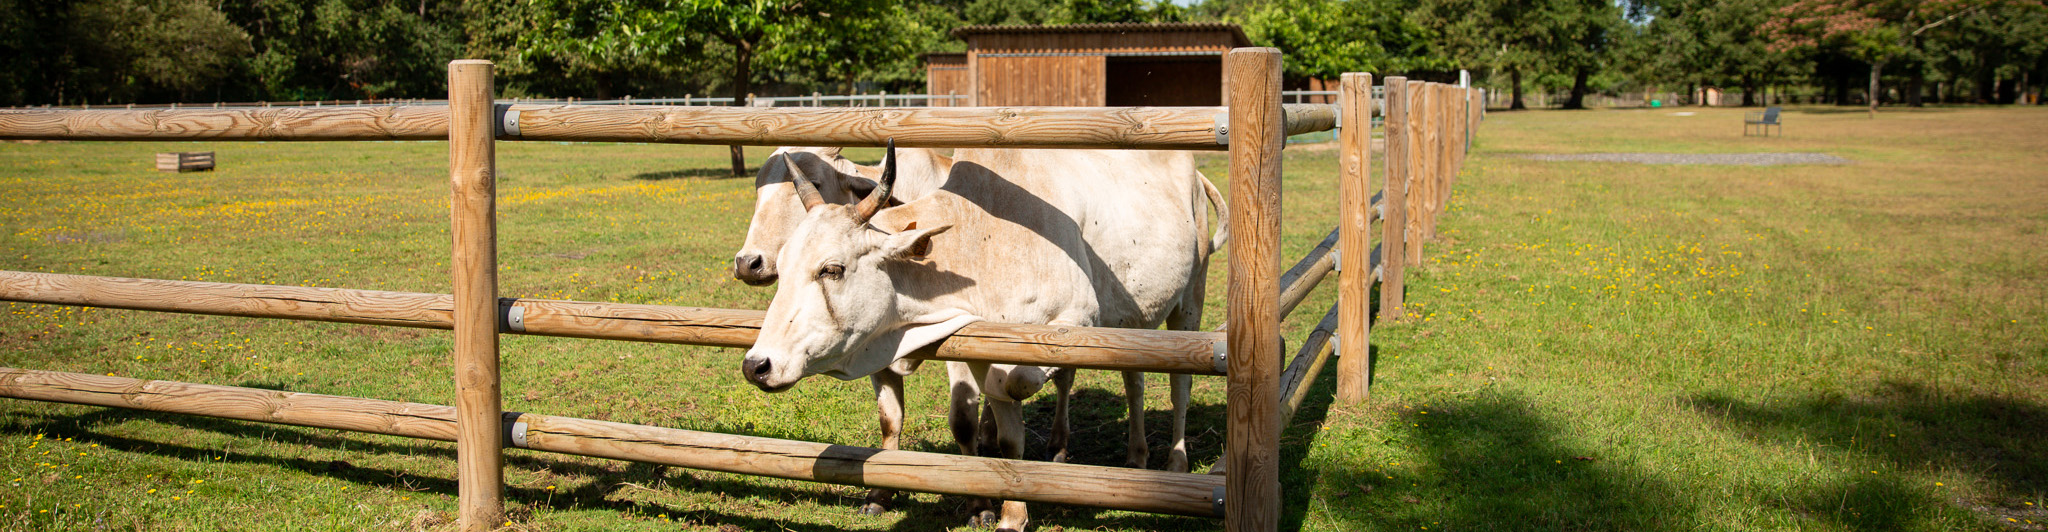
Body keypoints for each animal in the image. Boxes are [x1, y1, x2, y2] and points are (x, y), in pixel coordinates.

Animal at [737, 143, 1212, 527]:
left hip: (1189, 300)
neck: (980, 237)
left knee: (1179, 385)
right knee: (1133, 379)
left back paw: (1173, 462)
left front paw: (990, 507)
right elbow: (988, 429)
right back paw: (1131, 457)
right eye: (787, 265)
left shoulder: (1076, 318)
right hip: (1133, 320)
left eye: (832, 269)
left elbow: (1003, 393)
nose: (757, 364)